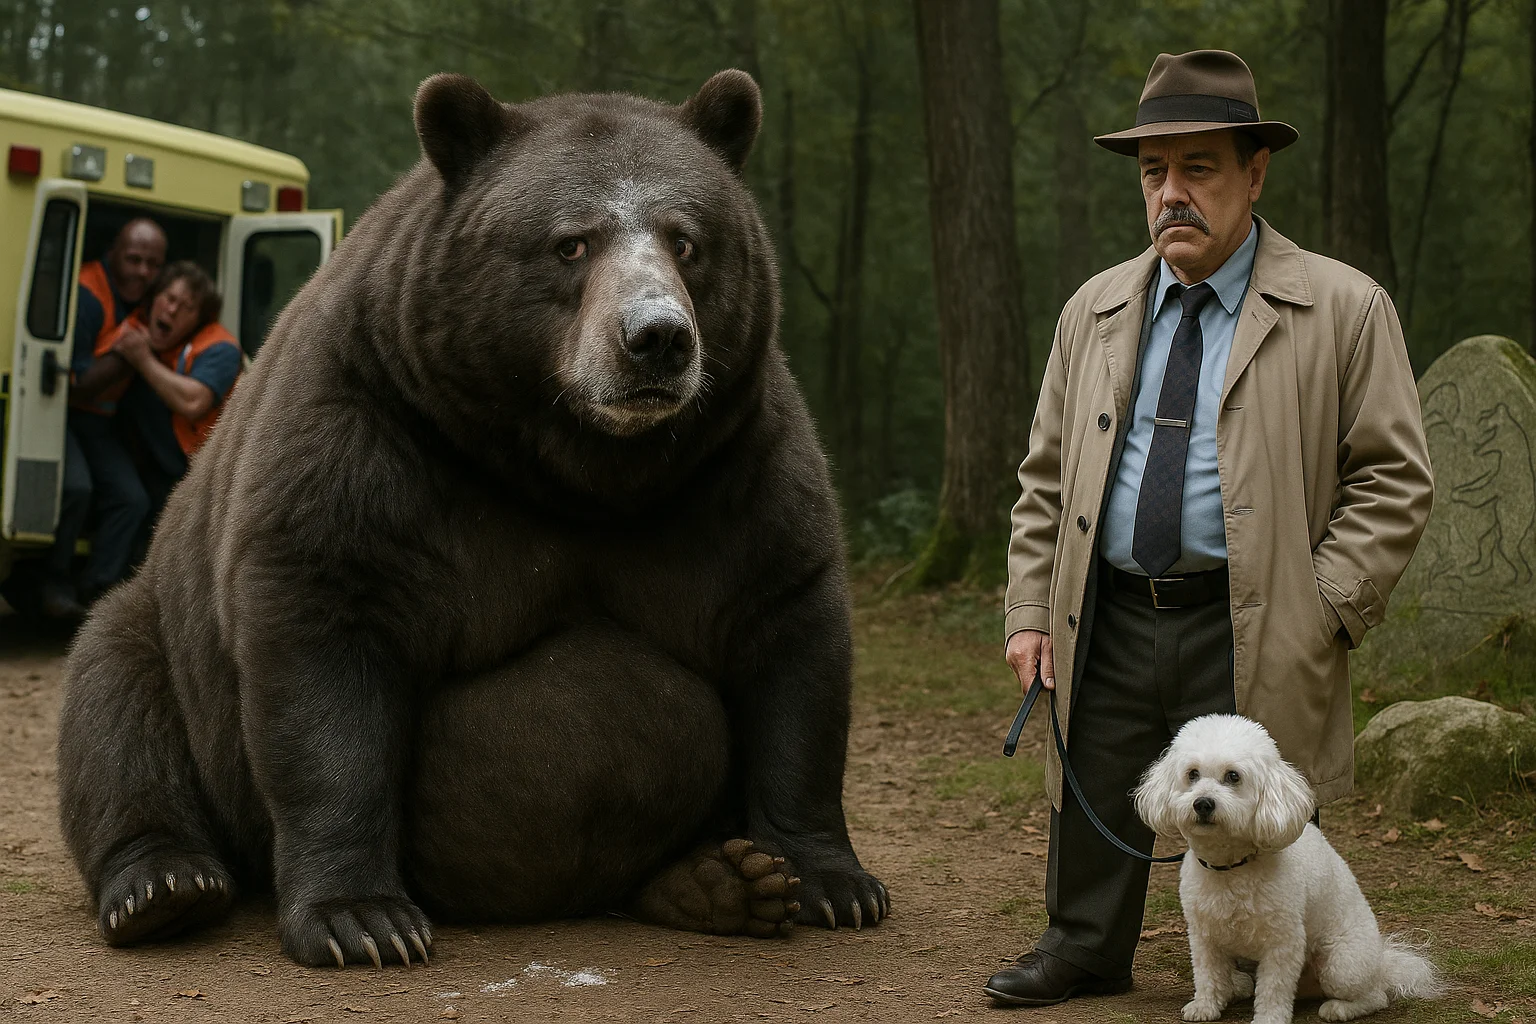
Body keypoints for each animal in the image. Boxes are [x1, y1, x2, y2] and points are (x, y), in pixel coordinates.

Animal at [55, 69, 888, 968]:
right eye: (572, 242)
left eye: (687, 239)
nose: (657, 338)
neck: (576, 466)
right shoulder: (372, 437)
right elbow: (322, 659)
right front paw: (361, 918)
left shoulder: (731, 465)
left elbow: (791, 645)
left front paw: (832, 882)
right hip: (167, 633)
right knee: (118, 703)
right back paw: (164, 885)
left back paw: (723, 879)